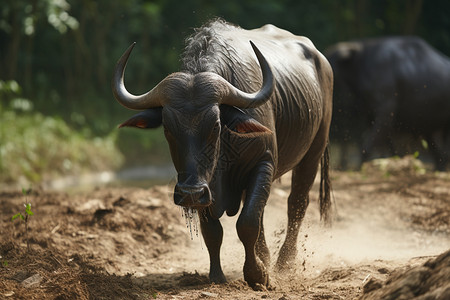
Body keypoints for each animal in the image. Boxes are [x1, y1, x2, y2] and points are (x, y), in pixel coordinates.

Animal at [110, 19, 332, 288]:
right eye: (167, 128)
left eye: (215, 125)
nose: (189, 192)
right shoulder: (206, 186)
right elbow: (214, 231)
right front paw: (217, 274)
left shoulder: (264, 163)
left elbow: (247, 222)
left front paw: (257, 274)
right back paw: (266, 257)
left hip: (314, 151)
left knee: (296, 202)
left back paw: (284, 262)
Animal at [326, 36, 450, 170]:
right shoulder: (372, 117)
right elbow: (389, 147)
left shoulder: (384, 113)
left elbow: (368, 146)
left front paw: (360, 168)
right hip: (428, 127)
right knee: (439, 155)